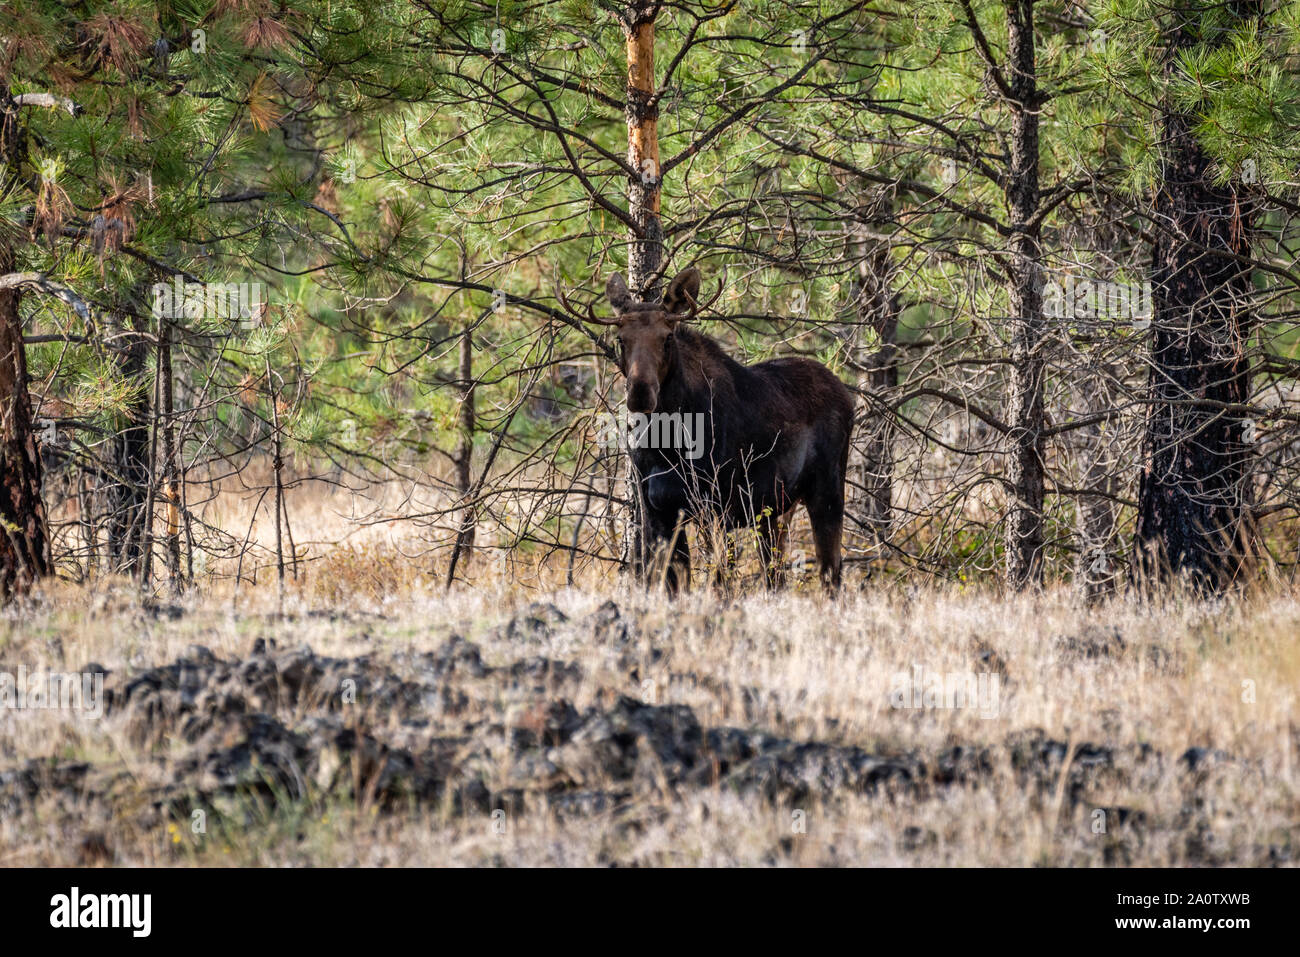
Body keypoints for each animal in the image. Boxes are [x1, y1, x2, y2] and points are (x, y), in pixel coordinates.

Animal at [561, 266, 854, 593]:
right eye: (620, 339)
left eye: (667, 337)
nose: (640, 393)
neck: (667, 441)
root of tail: (846, 394)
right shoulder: (658, 510)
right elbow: (674, 584)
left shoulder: (719, 507)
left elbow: (717, 583)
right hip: (774, 510)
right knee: (775, 576)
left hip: (826, 490)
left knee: (831, 573)